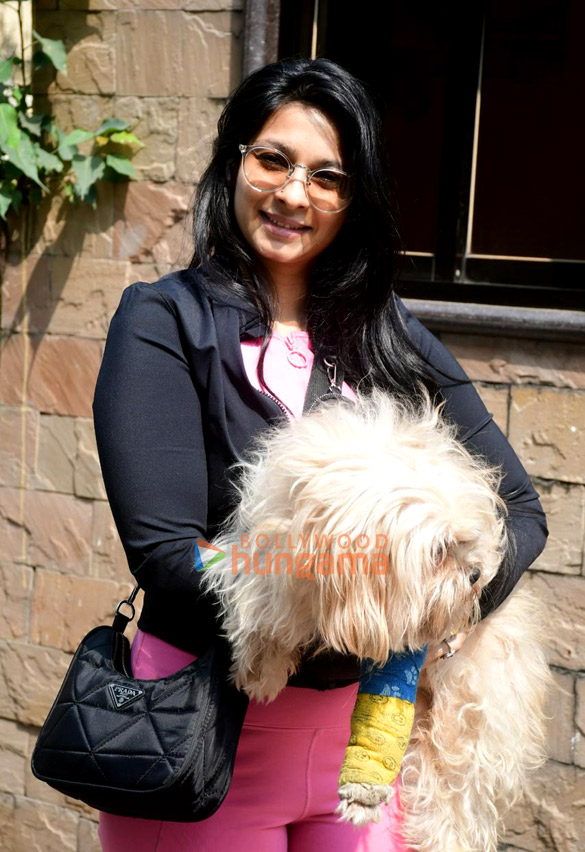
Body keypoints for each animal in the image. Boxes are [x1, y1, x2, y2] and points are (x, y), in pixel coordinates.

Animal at [200, 390, 548, 848]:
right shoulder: (274, 544)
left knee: (450, 792)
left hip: (464, 718)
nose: (476, 575)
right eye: (440, 551)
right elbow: (263, 596)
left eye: (466, 543)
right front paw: (263, 669)